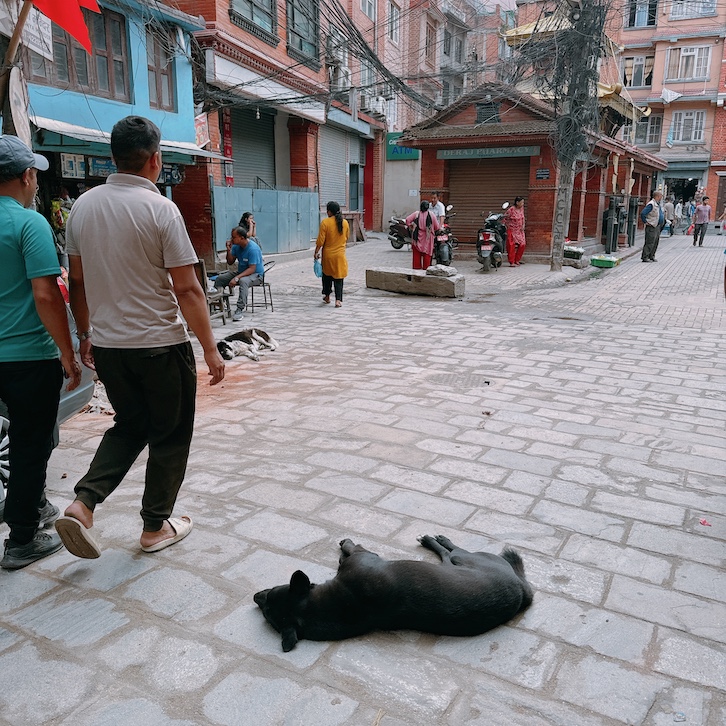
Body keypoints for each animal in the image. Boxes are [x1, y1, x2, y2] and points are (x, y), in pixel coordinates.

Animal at [255, 536, 536, 656]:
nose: (256, 597)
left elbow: (348, 549)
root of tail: (521, 588)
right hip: (464, 559)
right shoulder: (363, 556)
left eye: (270, 592)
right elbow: (351, 548)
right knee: (450, 551)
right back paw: (434, 539)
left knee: (449, 552)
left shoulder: (361, 557)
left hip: (461, 560)